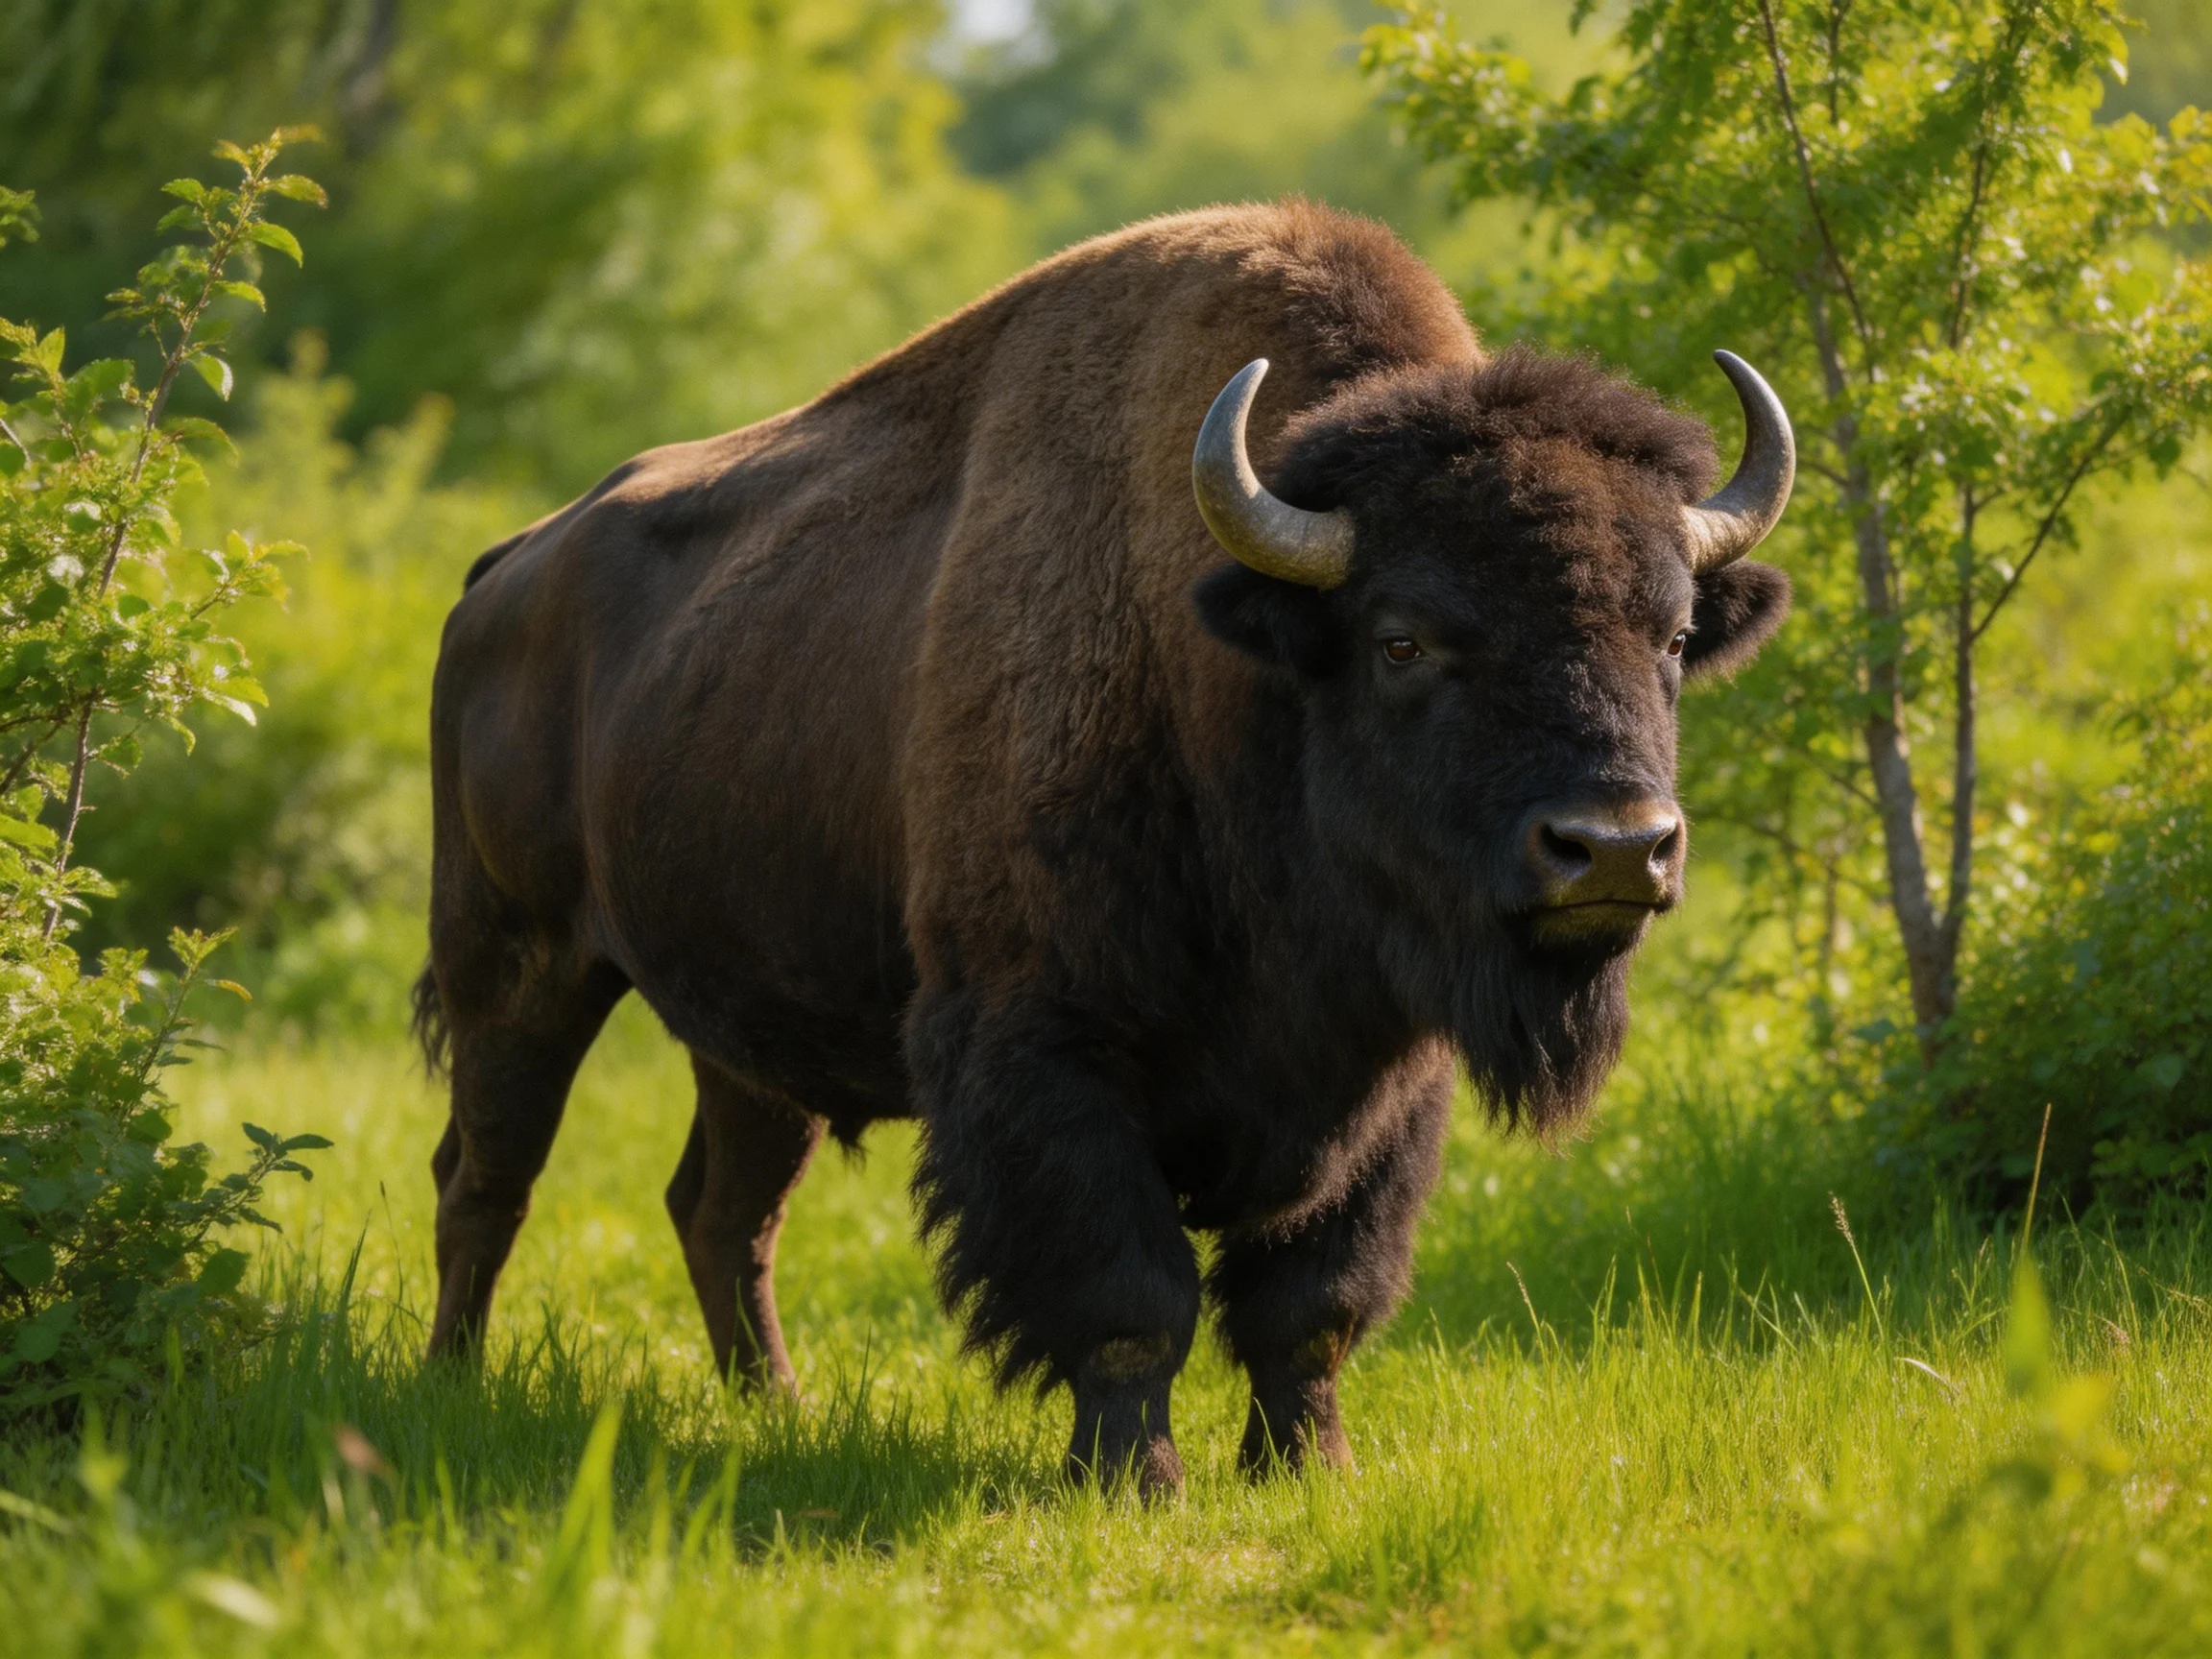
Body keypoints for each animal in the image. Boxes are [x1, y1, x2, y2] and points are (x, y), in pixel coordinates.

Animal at [414, 201, 1793, 1495]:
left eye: (1674, 637)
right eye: (1402, 639)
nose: (1613, 849)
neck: (1226, 665)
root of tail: (501, 573)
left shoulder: (1384, 1089)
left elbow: (1311, 1303)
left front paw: (1311, 1468)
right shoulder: (1050, 1052)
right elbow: (1131, 1296)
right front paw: (1134, 1481)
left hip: (746, 1043)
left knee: (721, 1212)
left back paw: (777, 1411)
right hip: (517, 966)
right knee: (487, 1174)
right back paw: (456, 1388)